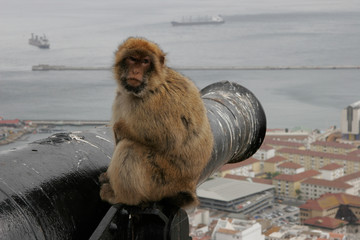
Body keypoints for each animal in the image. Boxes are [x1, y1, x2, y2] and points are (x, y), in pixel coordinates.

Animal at [98, 37, 214, 208]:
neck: (150, 86)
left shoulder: (154, 102)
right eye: (132, 59)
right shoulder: (120, 98)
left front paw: (120, 128)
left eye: (145, 61)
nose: (136, 71)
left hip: (162, 179)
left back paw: (122, 197)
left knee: (130, 147)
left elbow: (168, 137)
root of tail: (187, 186)